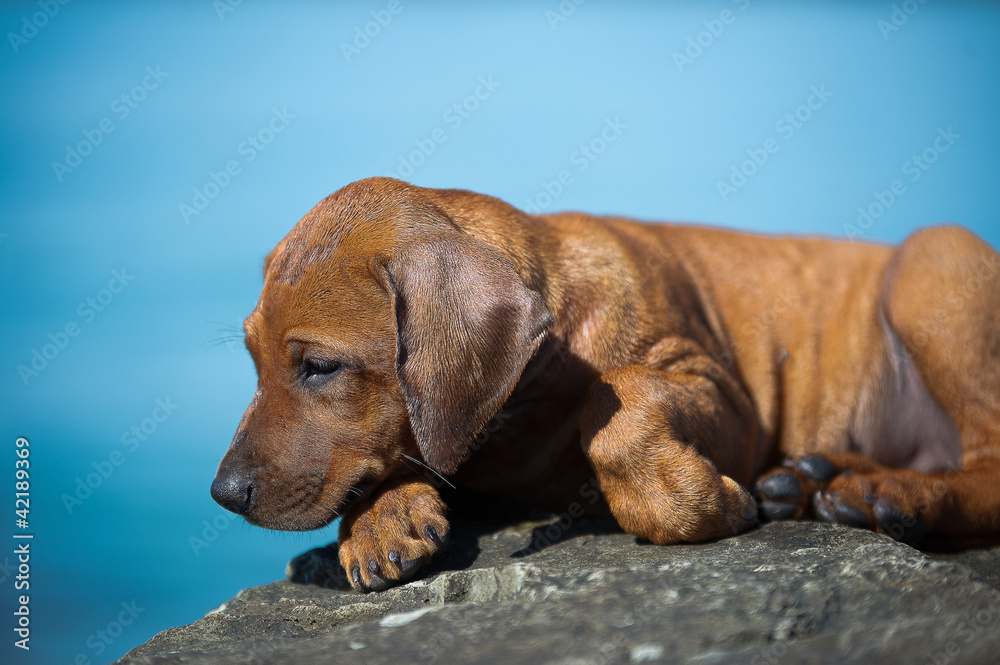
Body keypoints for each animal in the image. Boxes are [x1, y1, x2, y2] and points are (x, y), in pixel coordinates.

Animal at [211, 178, 1000, 592]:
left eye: (320, 367)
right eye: (252, 361)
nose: (224, 495)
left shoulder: (724, 397)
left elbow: (617, 398)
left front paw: (685, 501)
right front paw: (380, 518)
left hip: (935, 267)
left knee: (986, 470)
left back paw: (886, 493)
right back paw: (815, 480)